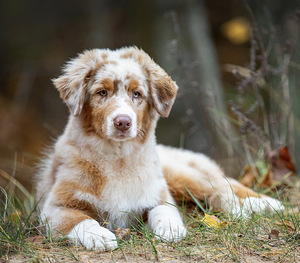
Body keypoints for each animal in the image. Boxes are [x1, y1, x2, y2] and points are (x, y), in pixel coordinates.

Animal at [35, 47, 284, 252]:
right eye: (102, 93)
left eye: (137, 94)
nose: (123, 122)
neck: (118, 158)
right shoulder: (55, 207)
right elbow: (80, 219)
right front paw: (99, 236)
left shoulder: (158, 194)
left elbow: (164, 210)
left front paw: (171, 229)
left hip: (180, 176)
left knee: (222, 187)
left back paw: (262, 205)